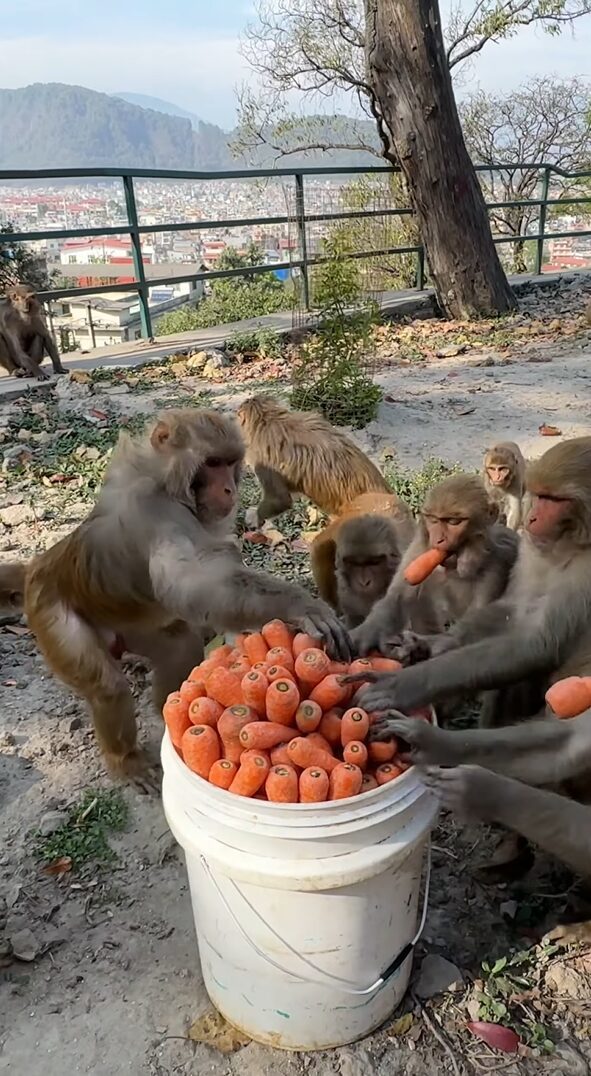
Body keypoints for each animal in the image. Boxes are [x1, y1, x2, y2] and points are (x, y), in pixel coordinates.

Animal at [0, 406, 348, 796]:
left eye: (229, 463)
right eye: (212, 463)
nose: (229, 488)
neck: (168, 486)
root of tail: (37, 568)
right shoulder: (160, 514)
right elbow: (192, 587)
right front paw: (300, 605)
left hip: (129, 622)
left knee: (178, 643)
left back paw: (167, 710)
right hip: (48, 610)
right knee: (107, 687)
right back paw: (126, 759)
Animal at [346, 439, 591, 933]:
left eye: (555, 500)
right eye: (435, 521)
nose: (534, 517)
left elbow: (533, 642)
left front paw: (403, 683)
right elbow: (507, 614)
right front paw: (400, 644)